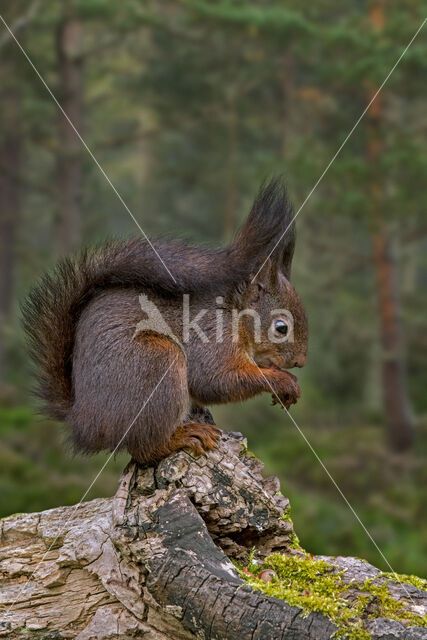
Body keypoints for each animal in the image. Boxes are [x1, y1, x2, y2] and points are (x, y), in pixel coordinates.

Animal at [22, 178, 308, 462]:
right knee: (145, 447)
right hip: (156, 363)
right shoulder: (211, 335)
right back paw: (184, 436)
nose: (300, 362)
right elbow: (215, 380)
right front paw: (284, 381)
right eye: (281, 327)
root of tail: (84, 422)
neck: (234, 313)